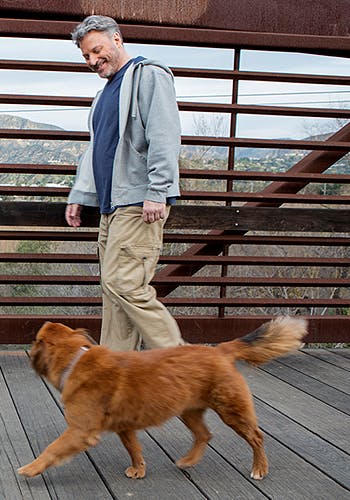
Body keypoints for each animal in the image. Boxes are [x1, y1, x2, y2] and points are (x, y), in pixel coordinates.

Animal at [18, 316, 306, 480]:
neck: (76, 359)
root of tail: (222, 350)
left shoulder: (80, 431)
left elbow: (52, 450)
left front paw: (31, 468)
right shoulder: (125, 428)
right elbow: (134, 449)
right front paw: (139, 470)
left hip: (232, 411)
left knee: (256, 437)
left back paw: (260, 468)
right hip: (189, 411)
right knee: (204, 435)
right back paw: (188, 461)